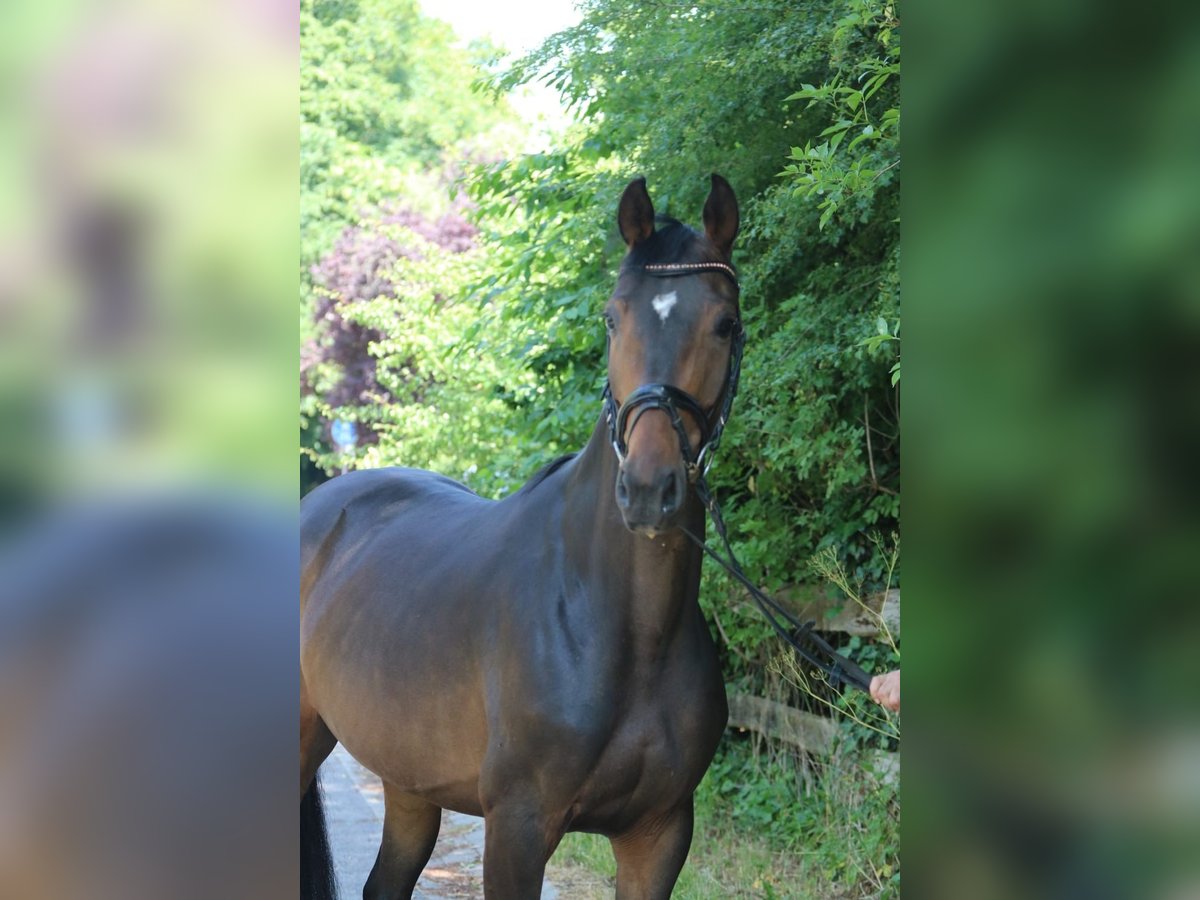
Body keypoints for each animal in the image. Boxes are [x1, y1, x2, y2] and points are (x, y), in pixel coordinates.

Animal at [300, 172, 744, 897]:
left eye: (725, 324)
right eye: (612, 316)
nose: (649, 489)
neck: (623, 629)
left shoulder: (659, 836)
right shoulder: (517, 825)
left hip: (409, 780)